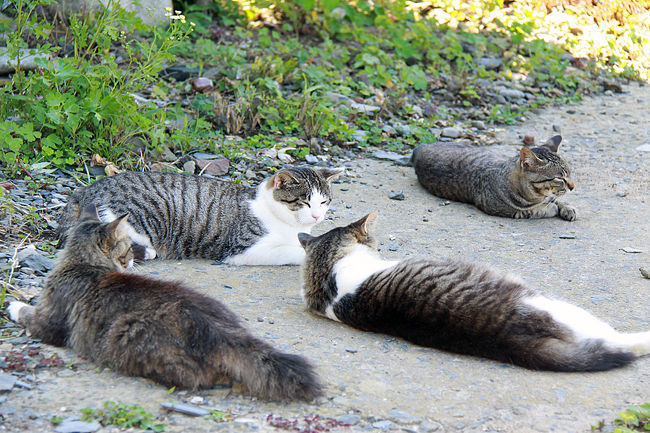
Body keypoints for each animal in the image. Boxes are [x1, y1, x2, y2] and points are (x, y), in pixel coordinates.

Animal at [8, 207, 322, 402]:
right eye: (127, 247)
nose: (132, 259)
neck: (83, 264)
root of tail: (222, 332)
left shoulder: (49, 322)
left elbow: (26, 313)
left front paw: (13, 304)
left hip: (129, 335)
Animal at [57, 167, 342, 264]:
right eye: (304, 202)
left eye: (324, 202)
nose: (317, 217)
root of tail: (85, 190)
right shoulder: (241, 250)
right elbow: (290, 251)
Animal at [412, 136, 576, 219]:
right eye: (560, 178)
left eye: (569, 174)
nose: (573, 187)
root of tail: (420, 148)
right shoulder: (510, 211)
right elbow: (535, 211)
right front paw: (551, 208)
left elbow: (556, 199)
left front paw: (567, 207)